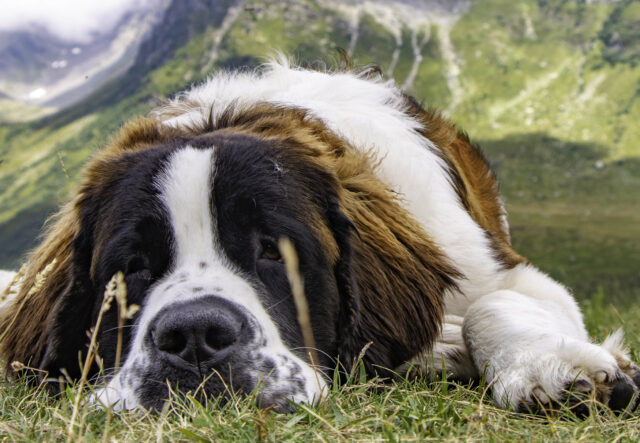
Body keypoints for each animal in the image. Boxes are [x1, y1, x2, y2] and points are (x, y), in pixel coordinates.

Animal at [0, 59, 636, 416]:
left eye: (273, 251)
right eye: (132, 266)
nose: (194, 336)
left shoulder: (507, 271)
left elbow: (496, 303)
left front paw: (551, 368)